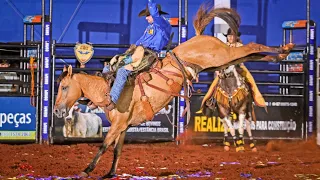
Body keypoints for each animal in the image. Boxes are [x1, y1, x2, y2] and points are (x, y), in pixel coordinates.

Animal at [53, 3, 296, 179]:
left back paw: (285, 49)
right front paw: (111, 173)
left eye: (64, 87)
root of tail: (200, 36)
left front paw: (87, 170)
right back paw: (282, 52)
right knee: (251, 53)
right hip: (223, 60)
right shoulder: (123, 126)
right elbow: (116, 150)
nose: (56, 111)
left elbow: (104, 146)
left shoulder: (118, 124)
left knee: (251, 47)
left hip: (223, 55)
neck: (109, 89)